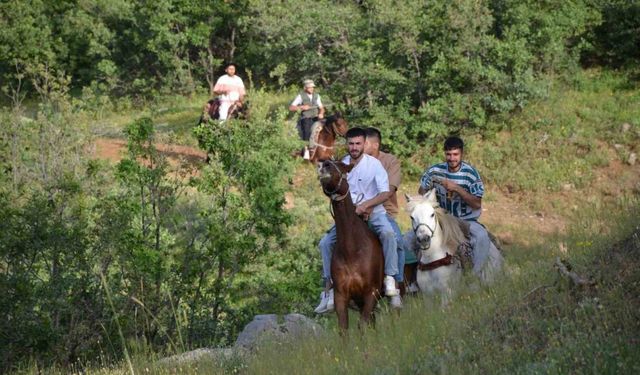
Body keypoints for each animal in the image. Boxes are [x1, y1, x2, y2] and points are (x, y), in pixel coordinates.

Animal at [318, 160, 382, 330]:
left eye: (342, 165)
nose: (324, 164)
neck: (352, 250)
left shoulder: (371, 293)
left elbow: (363, 325)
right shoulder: (341, 295)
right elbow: (344, 328)